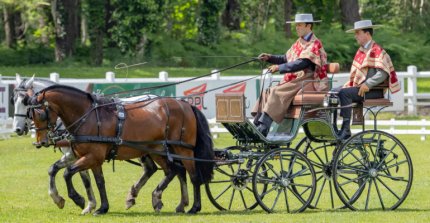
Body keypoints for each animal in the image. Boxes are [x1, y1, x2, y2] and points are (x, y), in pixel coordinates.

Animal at [26, 84, 214, 215]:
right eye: (30, 115)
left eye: (40, 114)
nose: (40, 142)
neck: (88, 116)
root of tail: (185, 105)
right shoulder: (90, 158)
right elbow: (97, 181)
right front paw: (101, 207)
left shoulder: (92, 156)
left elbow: (67, 173)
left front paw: (78, 199)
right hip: (158, 149)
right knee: (174, 170)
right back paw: (162, 199)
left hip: (183, 149)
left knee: (193, 175)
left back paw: (194, 207)